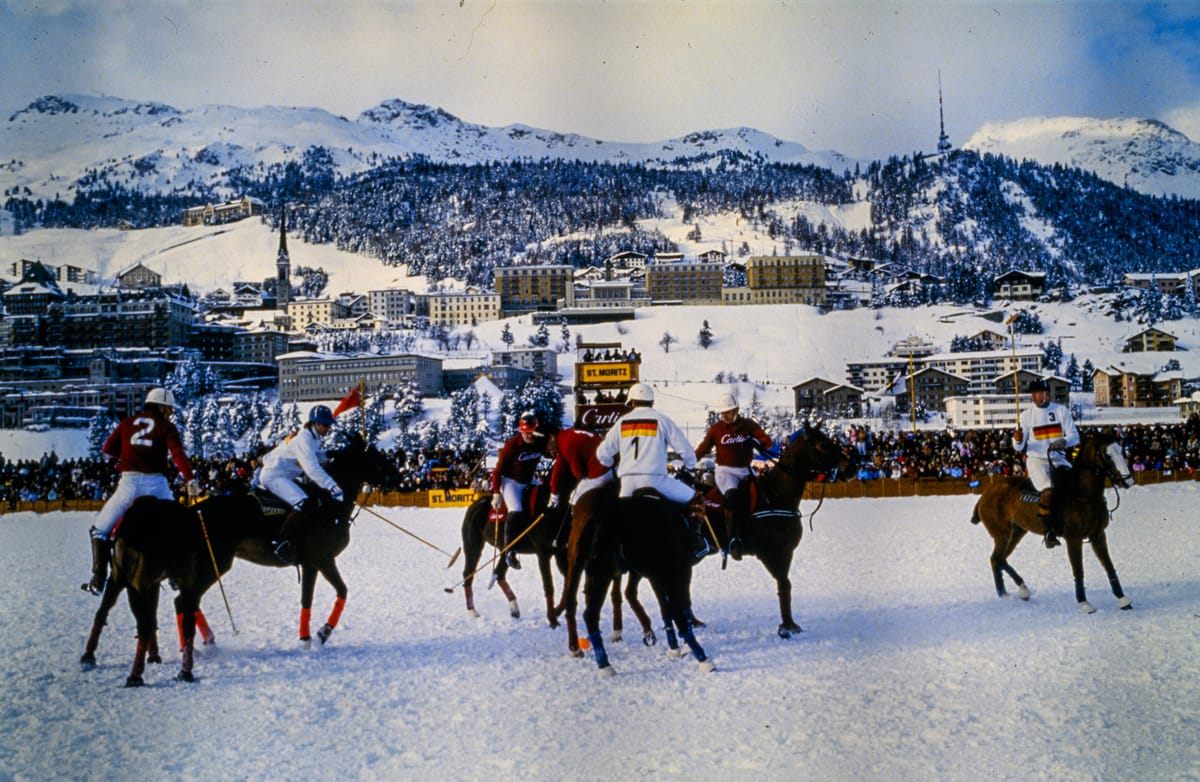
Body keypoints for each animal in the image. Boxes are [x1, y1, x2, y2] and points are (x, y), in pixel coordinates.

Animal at [81, 434, 398, 686]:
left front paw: (313, 636)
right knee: (183, 601)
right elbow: (327, 594)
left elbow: (325, 595)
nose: (393, 477)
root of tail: (191, 513)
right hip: (215, 563)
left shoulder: (316, 562)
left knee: (177, 602)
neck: (328, 505)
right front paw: (317, 636)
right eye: (377, 458)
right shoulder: (318, 559)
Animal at [974, 431, 1132, 614]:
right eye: (1107, 455)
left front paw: (1123, 599)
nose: (1128, 481)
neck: (1084, 493)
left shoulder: (1098, 535)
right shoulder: (1074, 538)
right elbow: (1078, 570)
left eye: (1121, 450)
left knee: (1000, 559)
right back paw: (1006, 594)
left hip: (1017, 531)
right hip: (1001, 533)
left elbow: (1109, 565)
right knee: (996, 559)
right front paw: (1084, 603)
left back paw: (1019, 590)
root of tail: (984, 495)